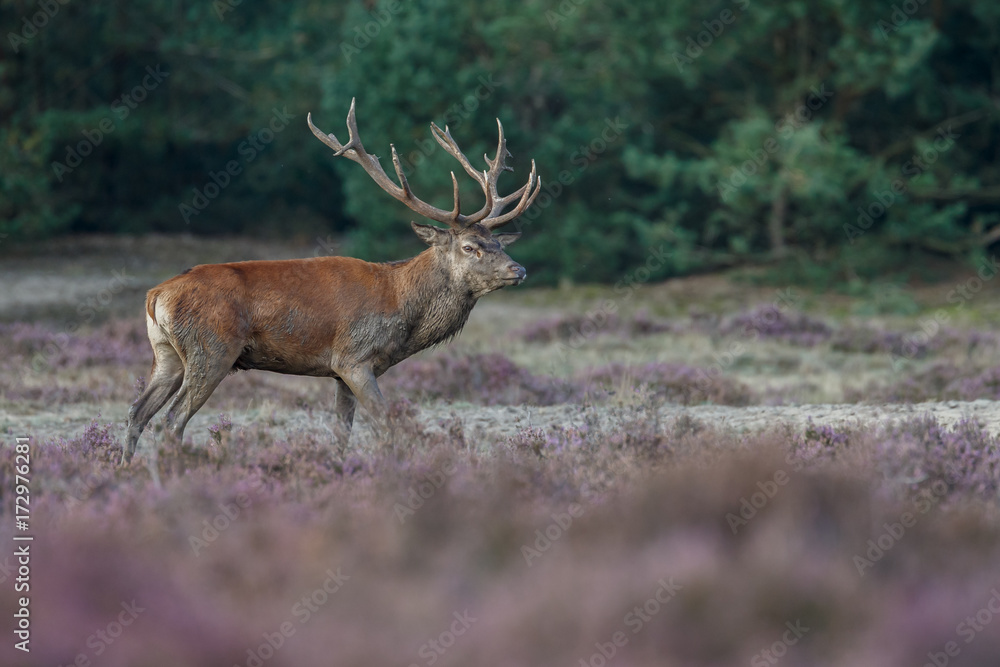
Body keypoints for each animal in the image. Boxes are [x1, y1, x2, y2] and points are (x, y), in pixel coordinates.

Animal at [121, 99, 541, 464]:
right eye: (470, 247)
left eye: (497, 243)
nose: (518, 269)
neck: (402, 310)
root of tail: (155, 295)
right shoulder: (354, 356)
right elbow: (387, 425)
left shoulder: (341, 372)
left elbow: (343, 431)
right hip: (212, 348)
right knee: (172, 420)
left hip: (167, 353)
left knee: (137, 412)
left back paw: (126, 471)